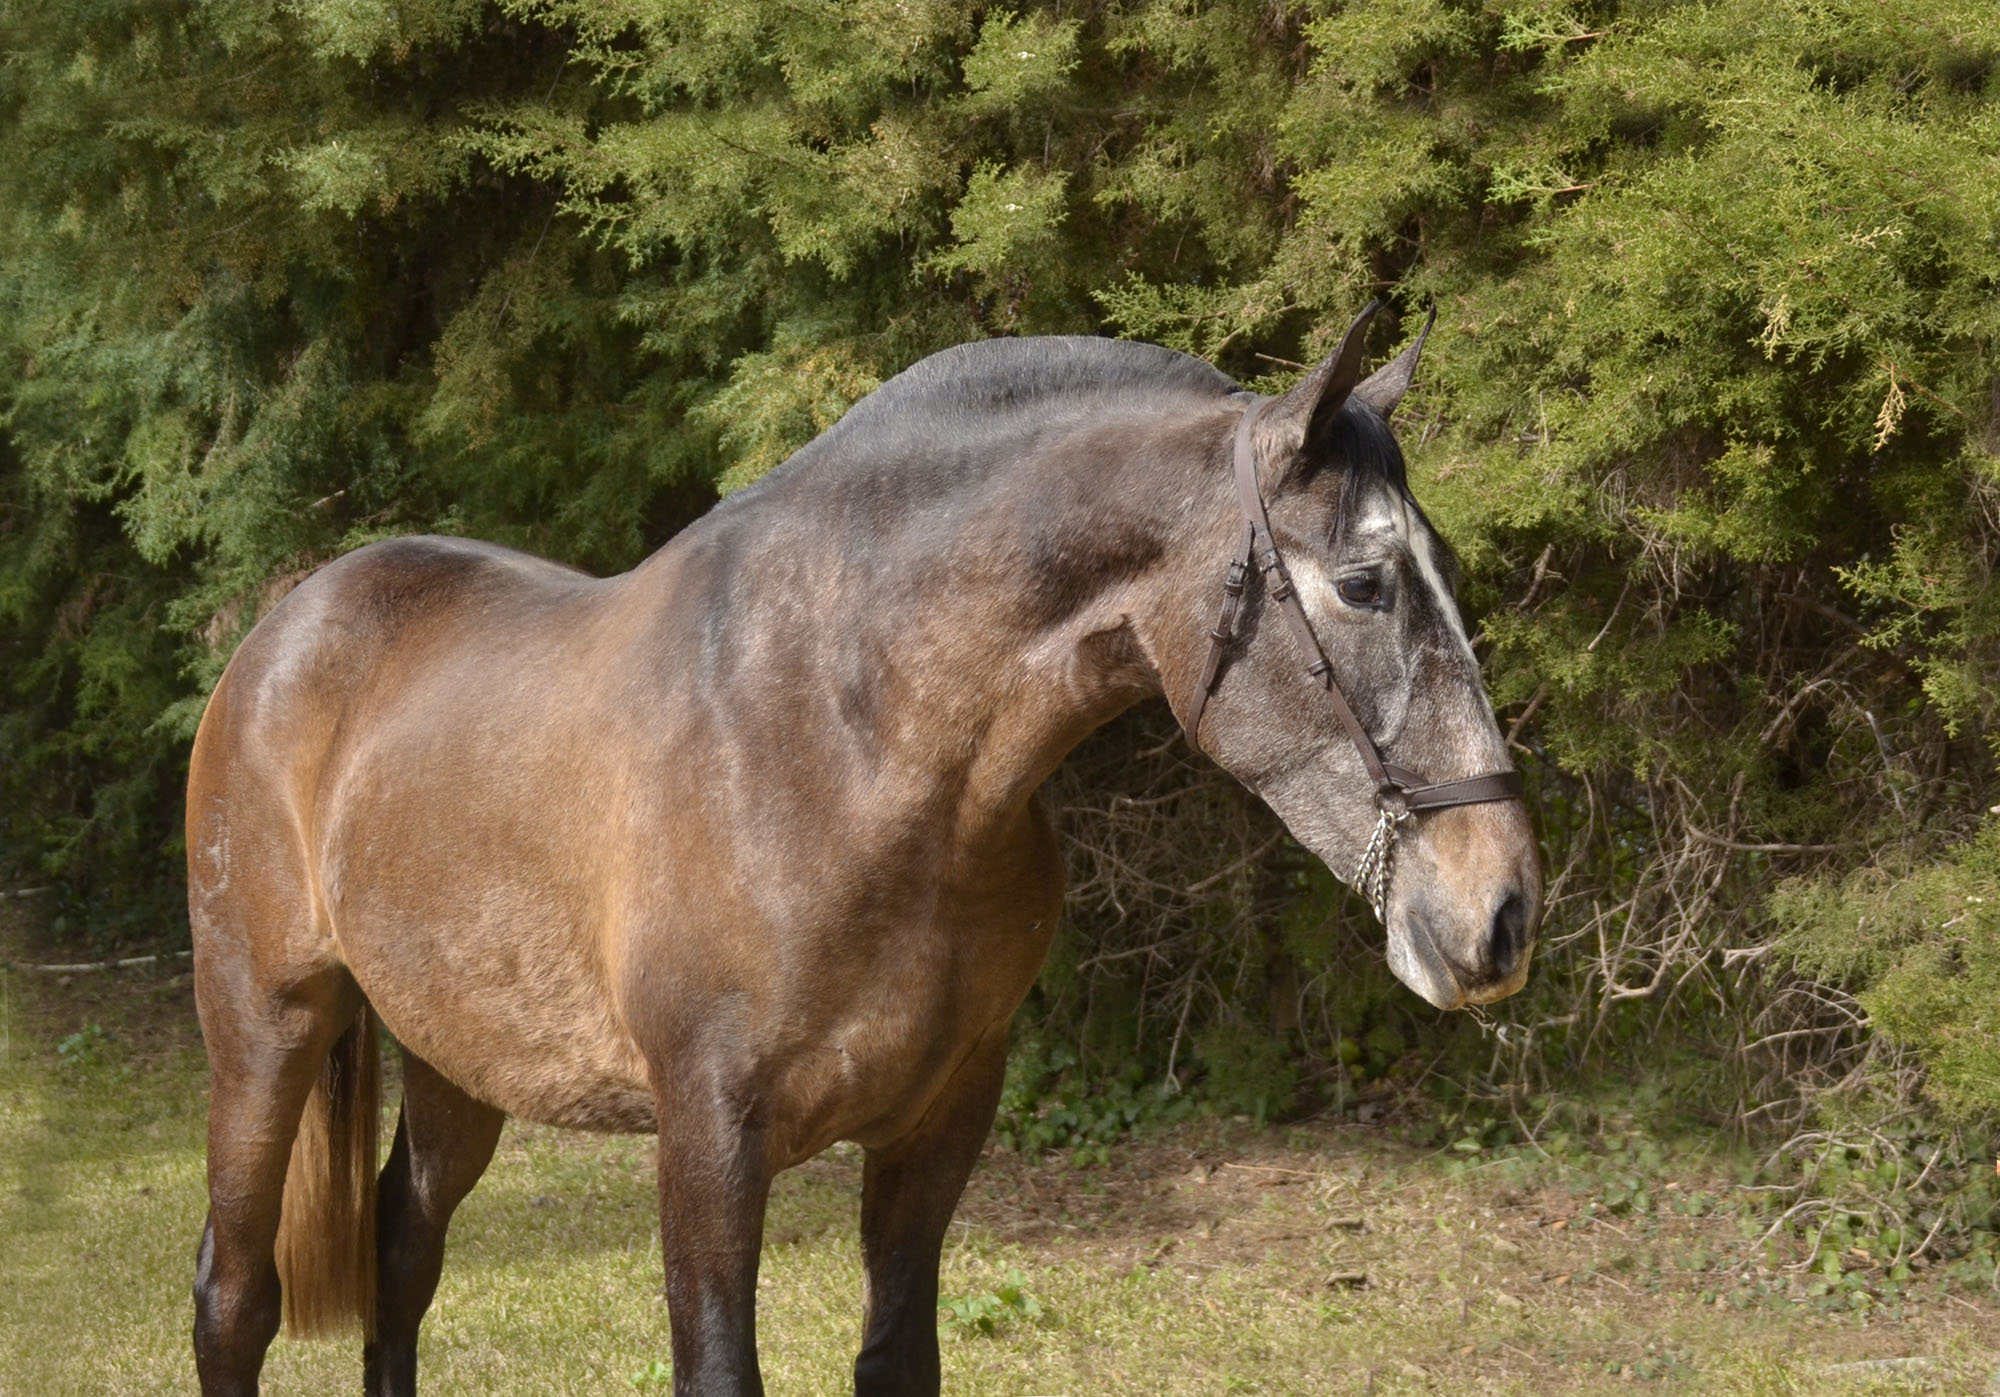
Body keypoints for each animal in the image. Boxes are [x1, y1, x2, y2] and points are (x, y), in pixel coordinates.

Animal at [188, 304, 1536, 1392]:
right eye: (1363, 582)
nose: (1501, 909)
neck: (855, 746)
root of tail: (290, 623)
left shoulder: (936, 1122)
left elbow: (895, 1358)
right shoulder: (709, 1138)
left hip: (458, 1057)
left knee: (400, 1254)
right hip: (266, 1024)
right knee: (234, 1292)